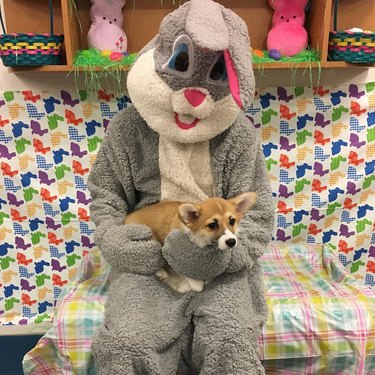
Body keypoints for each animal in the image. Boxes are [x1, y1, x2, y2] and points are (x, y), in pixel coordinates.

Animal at [126, 194, 258, 294]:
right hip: (150, 241)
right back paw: (161, 273)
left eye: (232, 221)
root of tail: (127, 218)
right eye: (212, 225)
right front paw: (195, 284)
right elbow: (193, 280)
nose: (231, 242)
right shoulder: (175, 257)